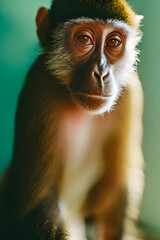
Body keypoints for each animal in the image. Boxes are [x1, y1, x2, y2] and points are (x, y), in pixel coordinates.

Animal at [0, 0, 144, 239]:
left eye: (113, 42)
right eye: (84, 39)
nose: (101, 73)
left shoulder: (131, 91)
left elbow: (115, 189)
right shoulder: (40, 83)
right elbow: (39, 204)